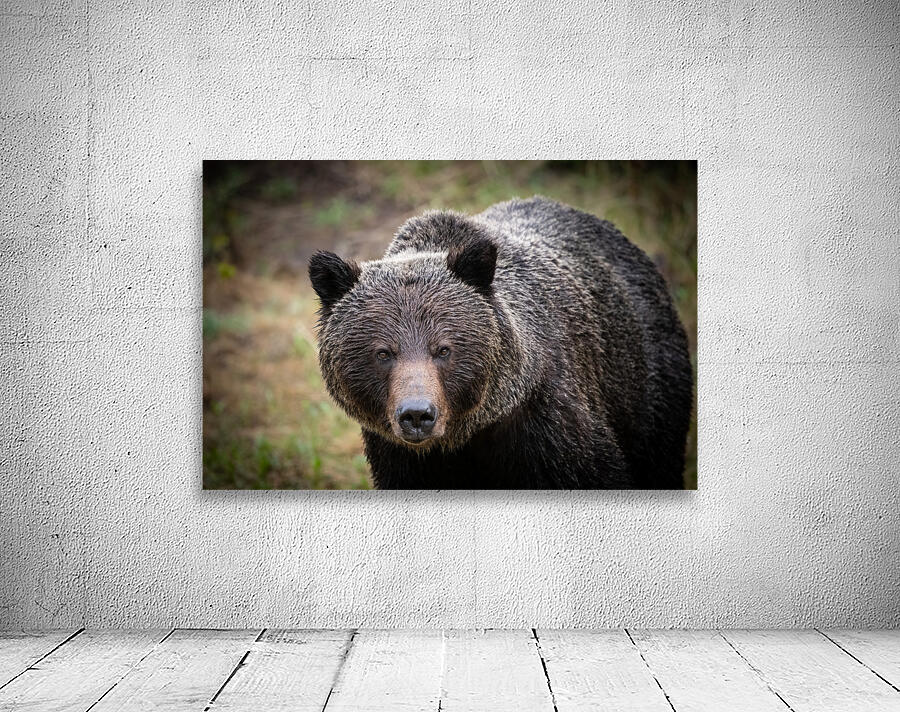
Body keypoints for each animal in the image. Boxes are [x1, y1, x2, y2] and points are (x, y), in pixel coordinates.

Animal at [308, 196, 693, 489]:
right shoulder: (400, 457)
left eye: (443, 349)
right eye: (384, 352)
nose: (417, 414)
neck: (463, 436)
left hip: (645, 384)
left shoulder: (547, 425)